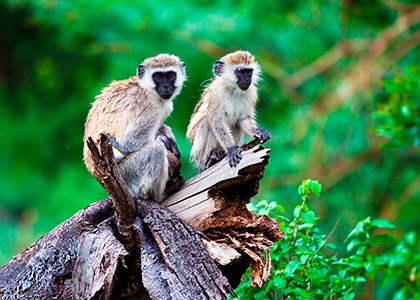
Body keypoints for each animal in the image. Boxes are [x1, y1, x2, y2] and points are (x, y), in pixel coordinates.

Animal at [83, 54, 185, 204]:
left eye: (170, 75)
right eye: (158, 76)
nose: (166, 86)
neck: (146, 87)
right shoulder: (151, 105)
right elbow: (132, 143)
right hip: (127, 176)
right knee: (155, 150)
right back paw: (161, 195)